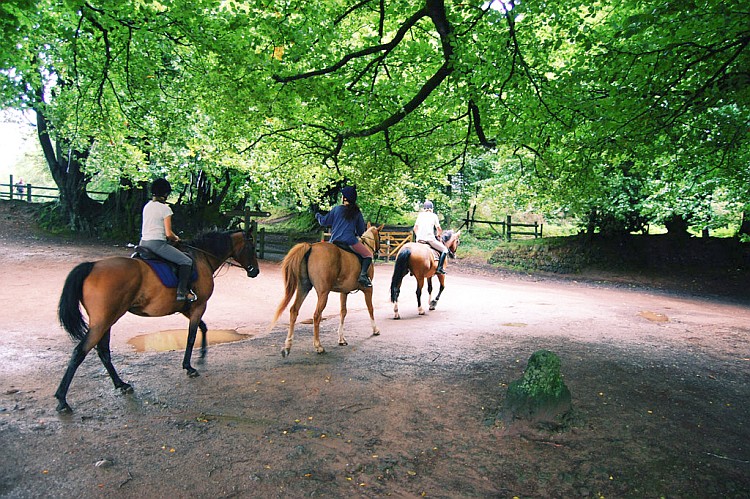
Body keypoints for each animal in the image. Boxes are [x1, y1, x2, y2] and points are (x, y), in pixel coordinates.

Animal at [54, 230, 260, 414]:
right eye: (252, 247)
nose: (255, 272)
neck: (202, 257)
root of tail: (92, 266)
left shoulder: (187, 308)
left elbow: (203, 327)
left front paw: (202, 354)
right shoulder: (199, 305)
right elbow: (191, 336)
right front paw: (189, 367)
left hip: (107, 321)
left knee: (103, 351)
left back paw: (121, 384)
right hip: (103, 322)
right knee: (80, 352)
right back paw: (62, 400)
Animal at [270, 225, 384, 358]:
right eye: (380, 236)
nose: (378, 253)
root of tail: (311, 247)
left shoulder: (344, 292)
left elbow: (343, 312)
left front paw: (341, 338)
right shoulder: (368, 289)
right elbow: (370, 308)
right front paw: (375, 330)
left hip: (303, 288)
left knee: (294, 310)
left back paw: (287, 346)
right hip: (323, 293)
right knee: (316, 316)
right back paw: (318, 346)